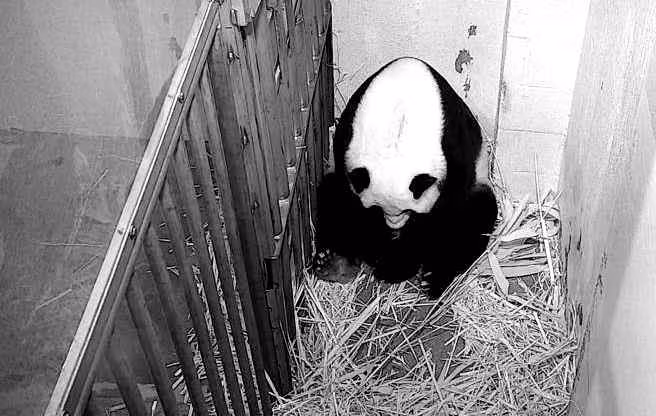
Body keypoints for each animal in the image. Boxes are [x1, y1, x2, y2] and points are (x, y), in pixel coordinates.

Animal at [316, 57, 498, 297]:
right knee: (330, 194)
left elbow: (444, 213)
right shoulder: (348, 135)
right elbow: (351, 205)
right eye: (378, 208)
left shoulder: (452, 147)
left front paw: (397, 264)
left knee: (476, 215)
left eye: (408, 210)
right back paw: (334, 264)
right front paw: (380, 253)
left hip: (480, 183)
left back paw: (434, 278)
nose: (394, 226)